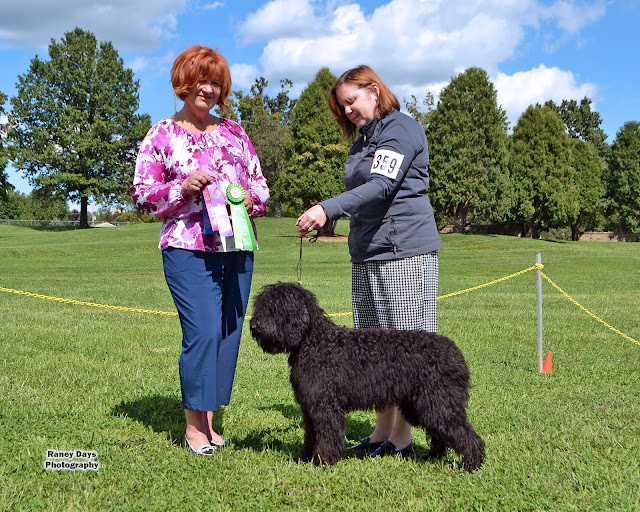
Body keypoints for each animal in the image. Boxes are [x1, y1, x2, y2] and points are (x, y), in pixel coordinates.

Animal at [250, 282, 484, 470]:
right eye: (261, 305)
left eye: (275, 308)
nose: (253, 325)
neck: (314, 341)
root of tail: (456, 353)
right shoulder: (310, 408)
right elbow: (311, 435)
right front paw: (305, 458)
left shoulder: (326, 407)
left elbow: (327, 436)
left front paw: (323, 461)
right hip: (423, 405)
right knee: (440, 433)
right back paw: (433, 456)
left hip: (437, 403)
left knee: (463, 433)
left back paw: (473, 463)